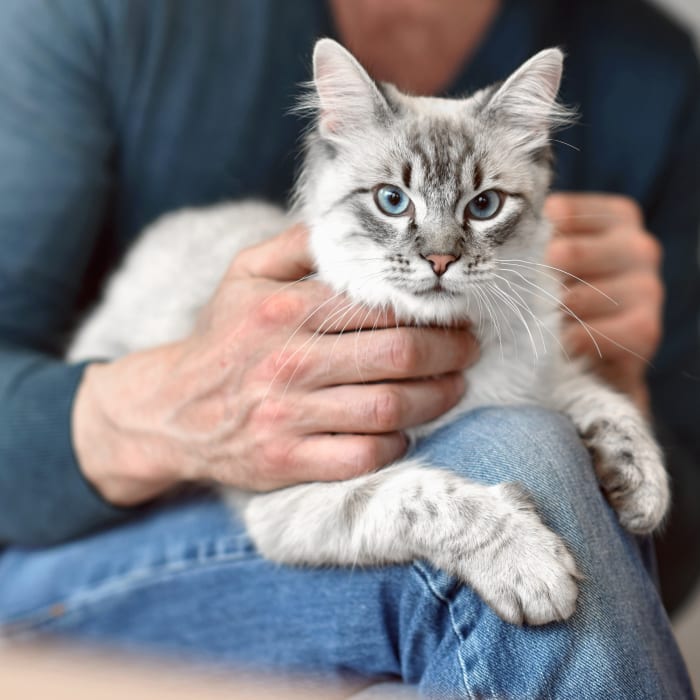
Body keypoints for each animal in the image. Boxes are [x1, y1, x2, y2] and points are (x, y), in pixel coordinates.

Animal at [68, 41, 668, 628]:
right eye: (392, 201)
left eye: (483, 206)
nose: (441, 260)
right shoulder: (298, 492)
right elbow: (428, 497)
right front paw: (531, 565)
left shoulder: (535, 373)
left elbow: (604, 402)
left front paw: (641, 488)